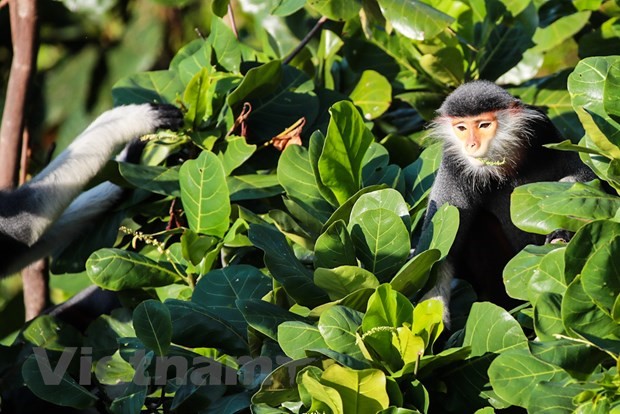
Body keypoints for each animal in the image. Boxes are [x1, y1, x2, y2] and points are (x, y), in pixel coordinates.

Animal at [418, 79, 600, 322]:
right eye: (462, 128)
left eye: (484, 125)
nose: (471, 145)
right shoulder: (453, 162)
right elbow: (440, 254)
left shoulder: (544, 131)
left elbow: (585, 177)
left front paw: (560, 233)